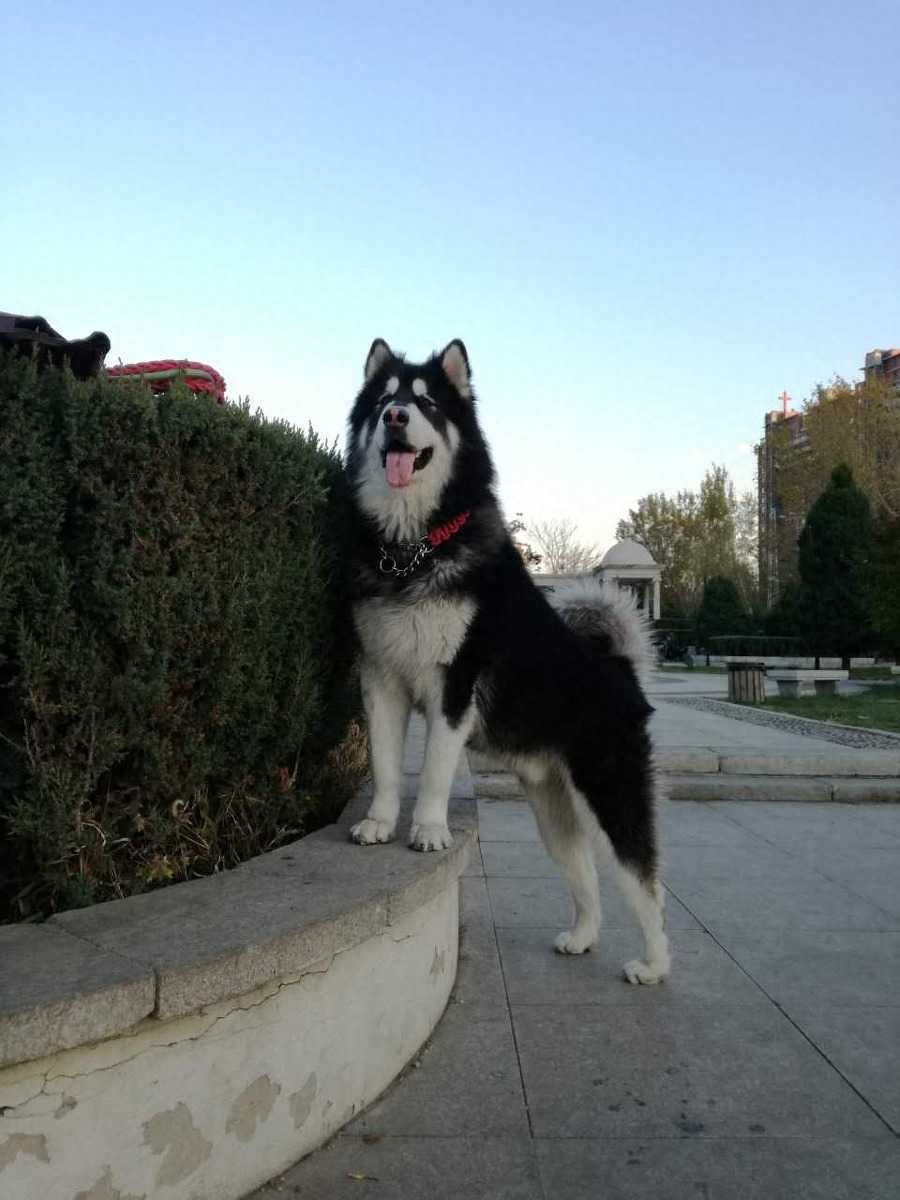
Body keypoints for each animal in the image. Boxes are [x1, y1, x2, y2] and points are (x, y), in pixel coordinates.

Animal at [345, 338, 670, 985]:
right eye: (385, 400)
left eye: (427, 404)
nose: (396, 418)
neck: (415, 550)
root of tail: (620, 670)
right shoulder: (381, 679)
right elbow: (387, 764)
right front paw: (381, 821)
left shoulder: (454, 687)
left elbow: (435, 771)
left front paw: (428, 830)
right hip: (553, 809)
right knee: (586, 876)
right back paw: (583, 936)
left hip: (610, 791)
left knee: (644, 881)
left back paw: (654, 965)